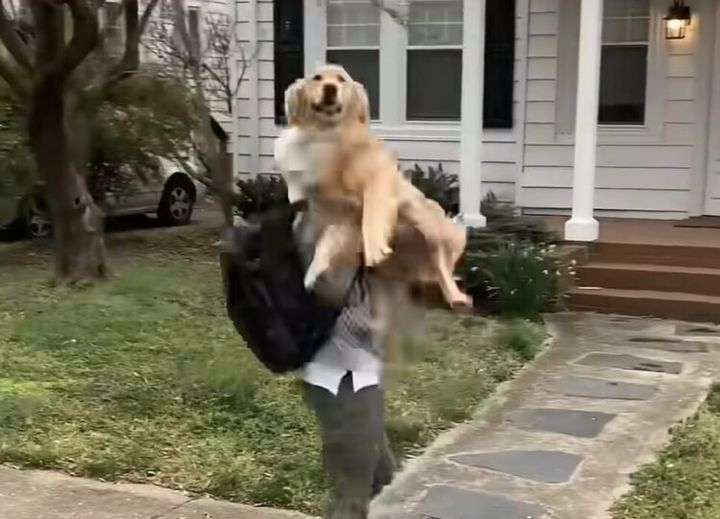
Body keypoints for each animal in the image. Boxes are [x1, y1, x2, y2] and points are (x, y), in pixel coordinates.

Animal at [275, 64, 471, 315]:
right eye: (316, 78)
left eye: (341, 80)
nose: (330, 88)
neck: (325, 136)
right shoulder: (316, 207)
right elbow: (319, 238)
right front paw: (312, 272)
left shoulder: (369, 190)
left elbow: (368, 213)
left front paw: (374, 247)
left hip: (432, 225)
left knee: (441, 263)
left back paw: (455, 296)